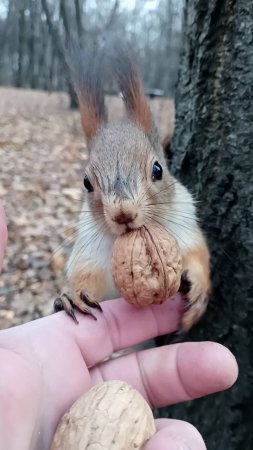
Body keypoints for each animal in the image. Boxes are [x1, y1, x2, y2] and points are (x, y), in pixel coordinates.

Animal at [53, 43, 211, 330]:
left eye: (158, 170)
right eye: (86, 182)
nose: (123, 214)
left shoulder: (186, 225)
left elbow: (198, 254)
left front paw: (198, 291)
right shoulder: (89, 253)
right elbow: (86, 277)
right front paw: (72, 295)